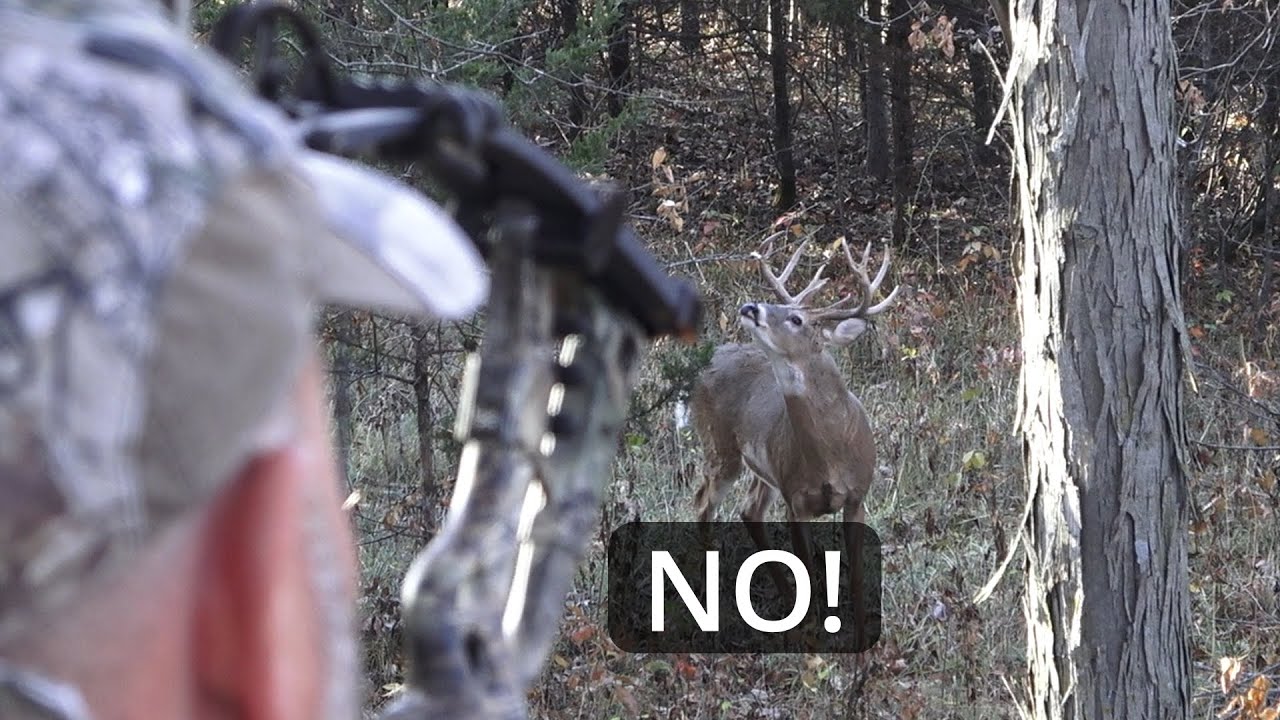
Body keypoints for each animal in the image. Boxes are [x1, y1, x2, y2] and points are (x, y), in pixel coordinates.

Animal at [690, 230, 901, 645]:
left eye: (796, 317)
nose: (750, 307)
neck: (831, 453)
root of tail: (711, 358)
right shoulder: (795, 498)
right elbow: (808, 571)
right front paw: (813, 633)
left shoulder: (857, 494)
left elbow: (856, 575)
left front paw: (863, 641)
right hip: (720, 446)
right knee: (703, 503)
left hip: (762, 470)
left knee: (748, 510)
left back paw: (783, 597)